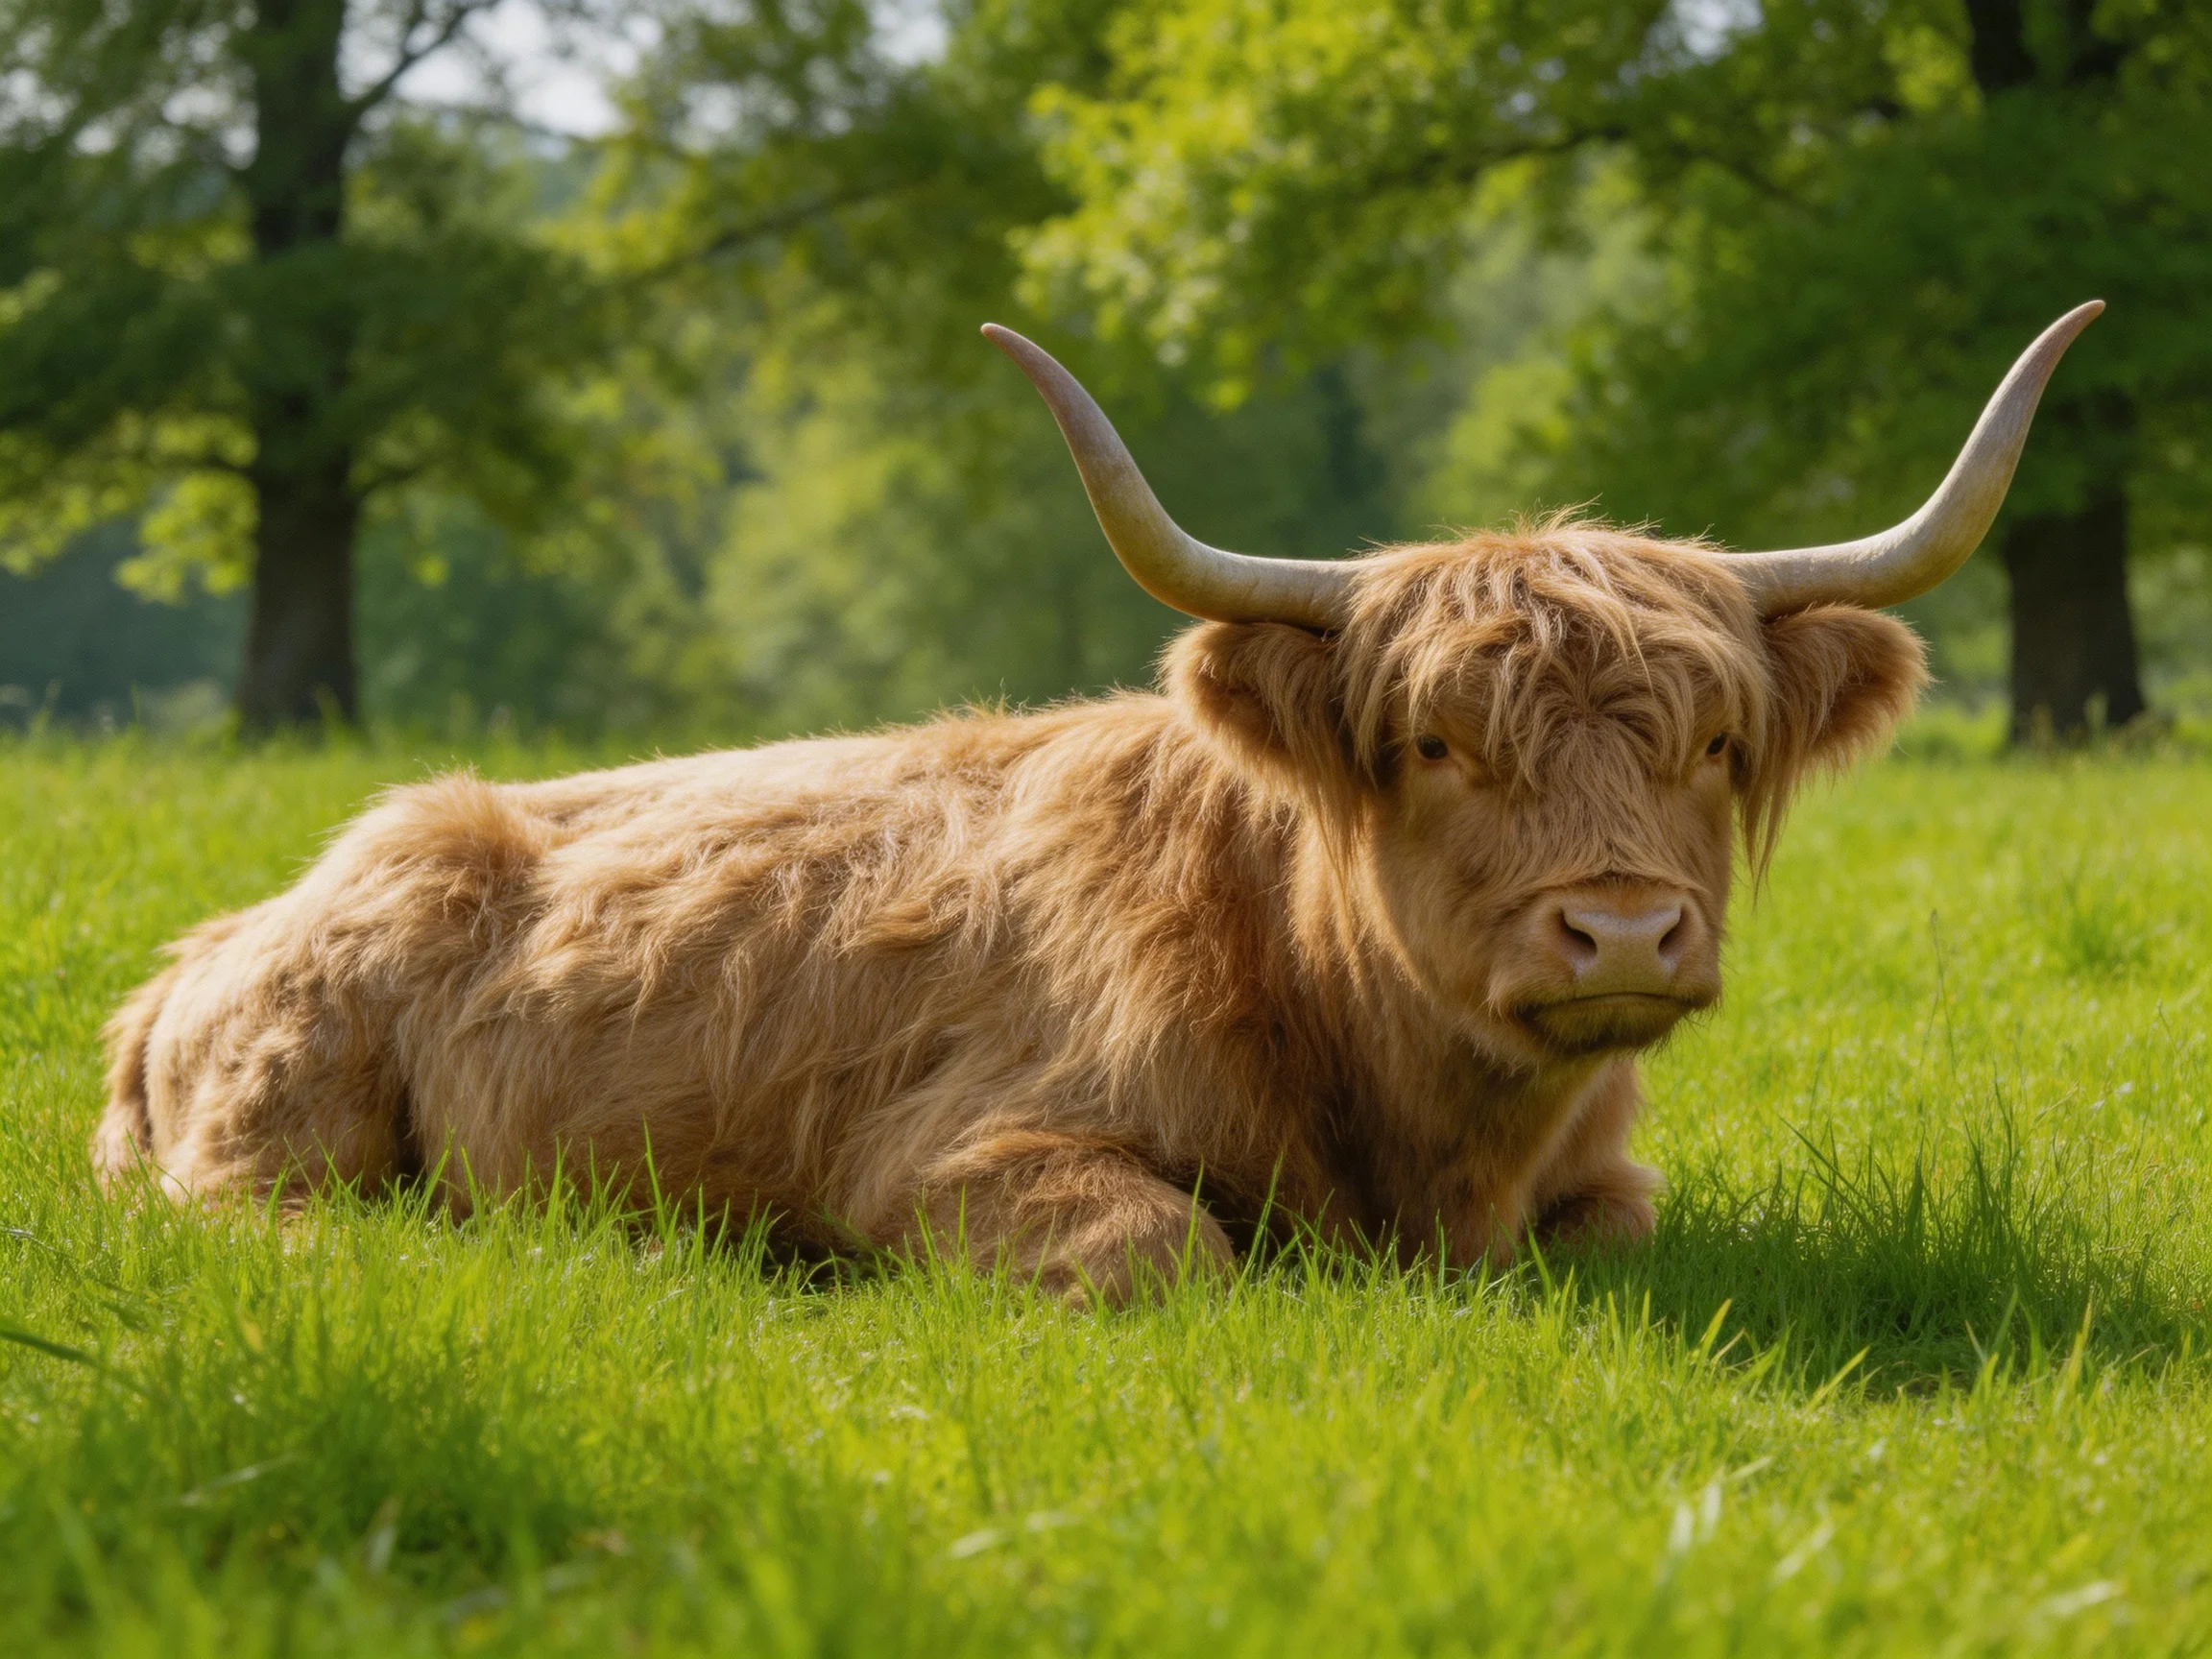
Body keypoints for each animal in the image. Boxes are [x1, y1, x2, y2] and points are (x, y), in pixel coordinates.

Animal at [93, 303, 2102, 1304]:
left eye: (1706, 740)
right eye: (1434, 743)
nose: (1618, 926)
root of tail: (211, 938)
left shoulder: (1598, 1183)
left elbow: (1619, 1233)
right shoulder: (954, 1149)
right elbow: (1172, 1253)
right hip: (286, 1097)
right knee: (277, 1218)